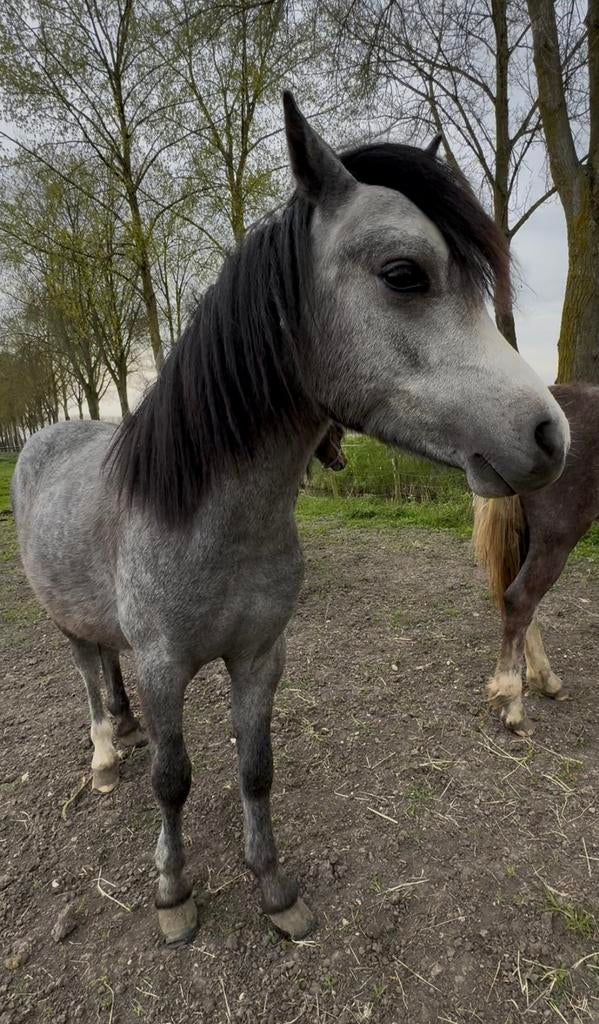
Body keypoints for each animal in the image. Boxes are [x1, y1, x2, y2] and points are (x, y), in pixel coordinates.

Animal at [11, 92, 569, 945]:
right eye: (403, 274)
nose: (549, 436)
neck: (209, 520)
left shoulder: (260, 656)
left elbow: (255, 765)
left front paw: (273, 888)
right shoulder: (166, 664)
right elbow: (173, 779)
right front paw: (173, 893)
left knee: (107, 667)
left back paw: (124, 729)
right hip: (65, 620)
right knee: (86, 671)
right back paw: (106, 755)